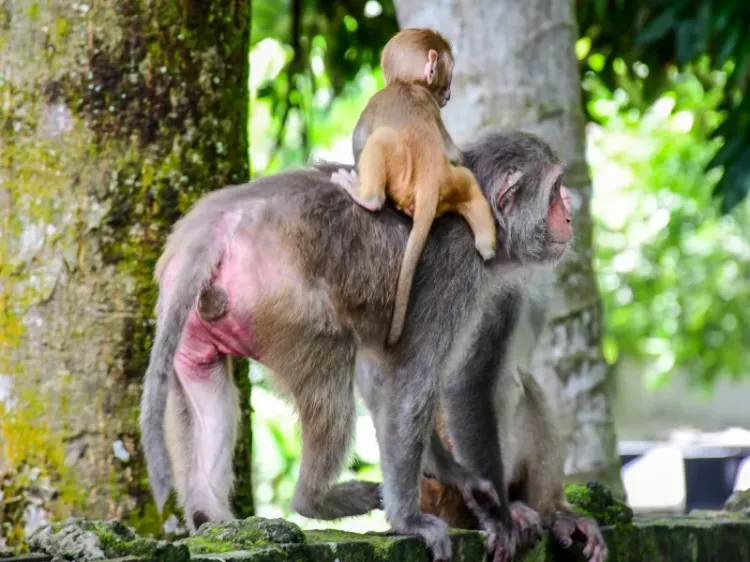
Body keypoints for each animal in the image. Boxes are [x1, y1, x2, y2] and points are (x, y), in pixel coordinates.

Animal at [139, 129, 570, 562]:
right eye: (555, 191)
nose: (569, 214)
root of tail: (218, 222)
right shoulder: (457, 270)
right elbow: (413, 386)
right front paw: (425, 519)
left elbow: (380, 378)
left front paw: (455, 475)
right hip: (283, 304)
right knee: (331, 361)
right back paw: (313, 499)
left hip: (192, 317)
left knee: (205, 383)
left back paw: (207, 513)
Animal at [333, 28, 498, 345]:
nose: (449, 93)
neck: (407, 84)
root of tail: (431, 183)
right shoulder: (431, 106)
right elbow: (455, 153)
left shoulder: (376, 101)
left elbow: (360, 139)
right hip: (453, 182)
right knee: (467, 181)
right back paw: (487, 244)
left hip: (402, 177)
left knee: (380, 140)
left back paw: (365, 196)